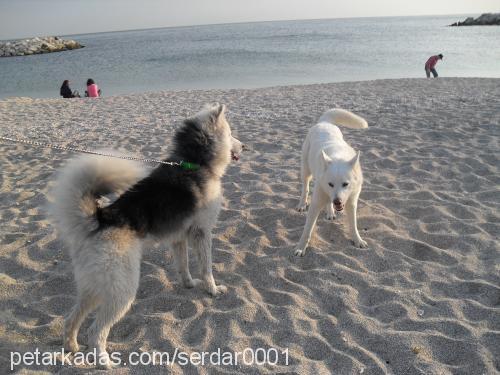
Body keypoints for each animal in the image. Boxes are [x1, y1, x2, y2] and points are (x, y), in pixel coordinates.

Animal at [294, 107, 370, 258]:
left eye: (345, 184)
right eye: (330, 184)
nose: (338, 202)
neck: (339, 156)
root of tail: (324, 122)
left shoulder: (351, 202)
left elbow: (353, 225)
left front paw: (357, 240)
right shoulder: (316, 203)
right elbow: (307, 230)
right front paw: (301, 248)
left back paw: (330, 212)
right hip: (306, 171)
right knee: (305, 188)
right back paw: (302, 204)